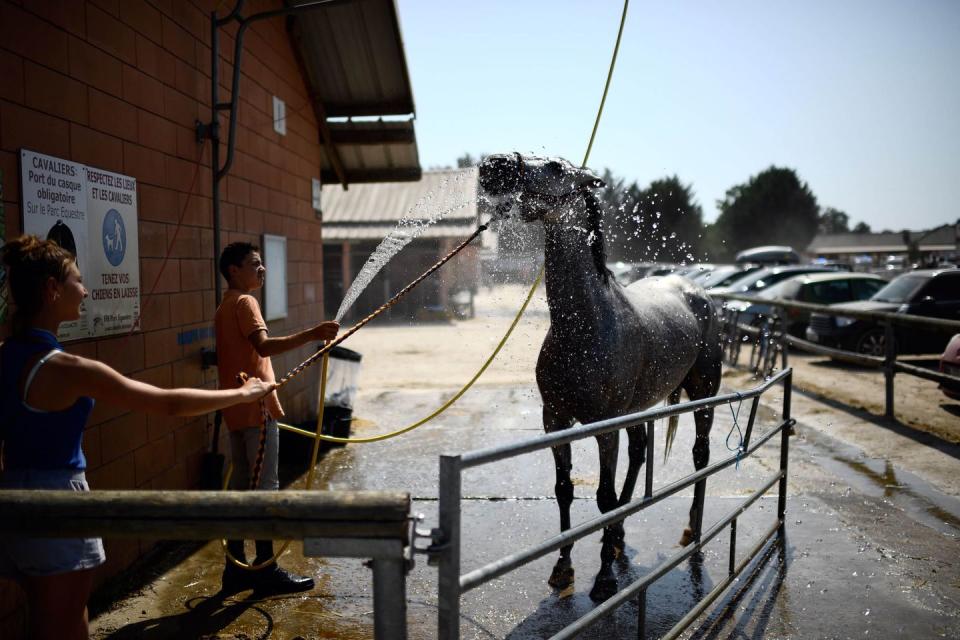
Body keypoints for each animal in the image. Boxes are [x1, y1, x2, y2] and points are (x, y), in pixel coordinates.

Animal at [480, 152, 720, 604]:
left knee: (701, 457)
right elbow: (564, 490)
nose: (493, 164)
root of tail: (695, 291)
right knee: (640, 452)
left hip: (704, 397)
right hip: (635, 410)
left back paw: (691, 533)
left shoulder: (603, 427)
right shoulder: (555, 420)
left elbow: (604, 497)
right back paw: (619, 535)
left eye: (556, 167)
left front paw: (605, 579)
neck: (585, 327)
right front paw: (563, 567)